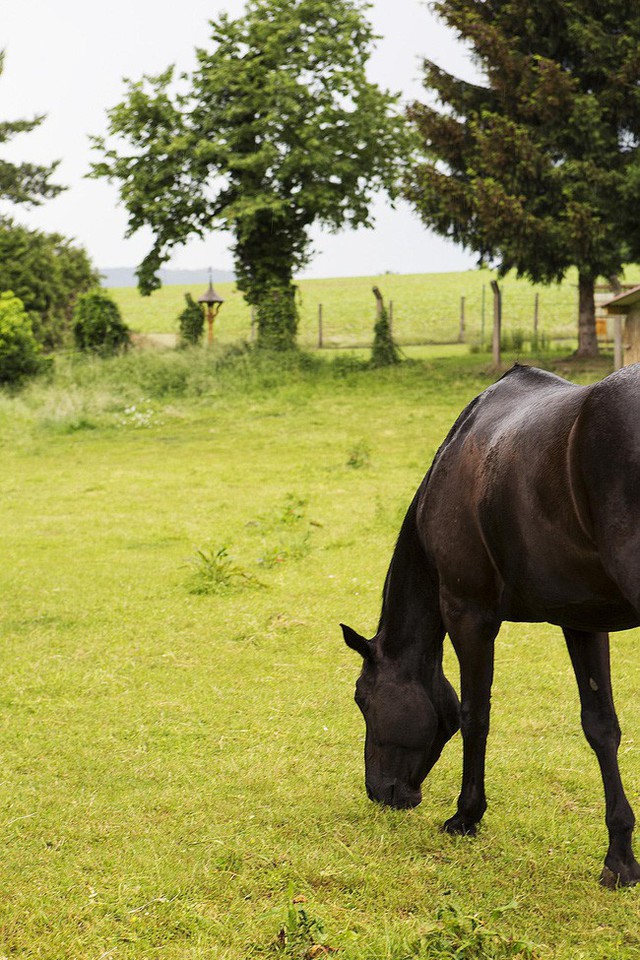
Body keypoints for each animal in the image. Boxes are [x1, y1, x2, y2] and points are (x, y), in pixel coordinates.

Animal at [344, 364, 640, 888]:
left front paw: (466, 815)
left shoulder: (469, 615)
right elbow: (601, 727)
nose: (379, 792)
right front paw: (620, 857)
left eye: (362, 698)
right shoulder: (583, 620)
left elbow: (473, 715)